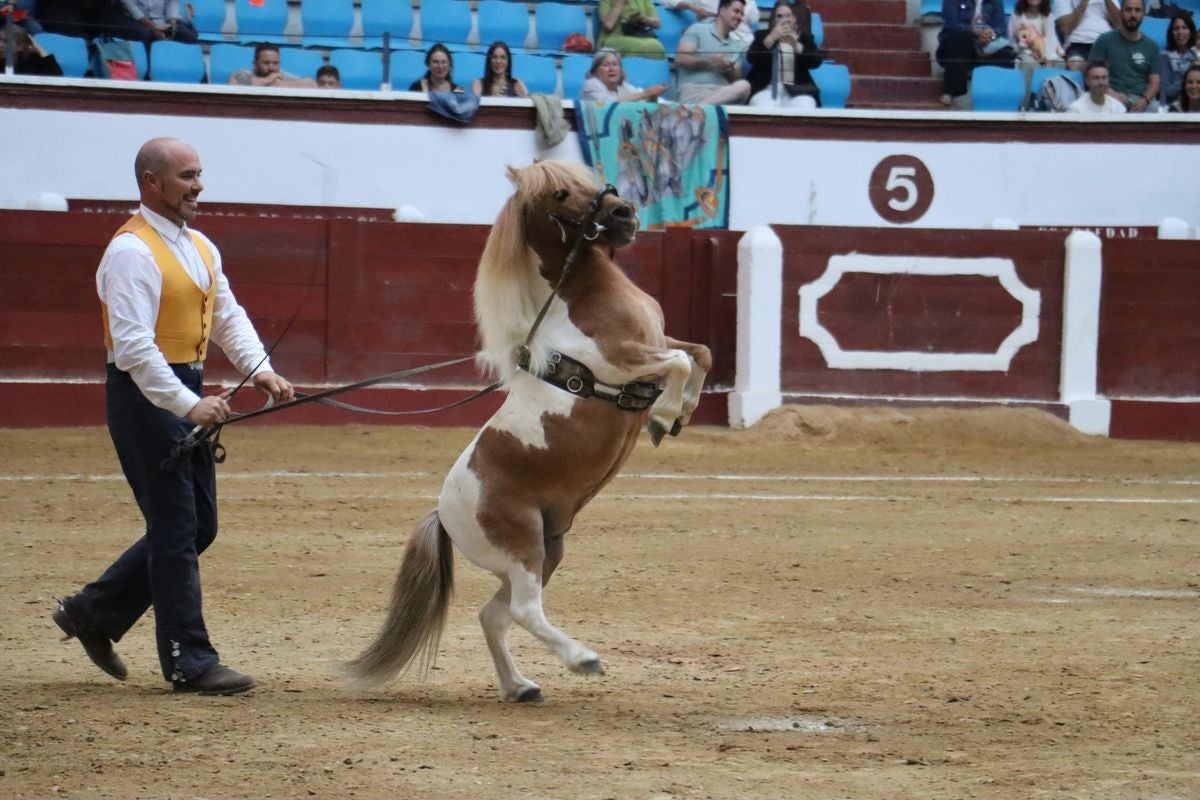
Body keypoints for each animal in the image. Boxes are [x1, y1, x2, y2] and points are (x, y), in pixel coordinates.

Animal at [340, 160, 712, 703]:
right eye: (559, 193)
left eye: (590, 178)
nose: (624, 213)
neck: (586, 301)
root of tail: (444, 513)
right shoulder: (624, 358)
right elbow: (682, 361)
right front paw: (664, 415)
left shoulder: (658, 340)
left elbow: (700, 353)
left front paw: (681, 412)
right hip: (524, 552)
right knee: (521, 611)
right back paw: (582, 659)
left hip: (544, 551)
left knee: (493, 615)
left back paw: (520, 687)